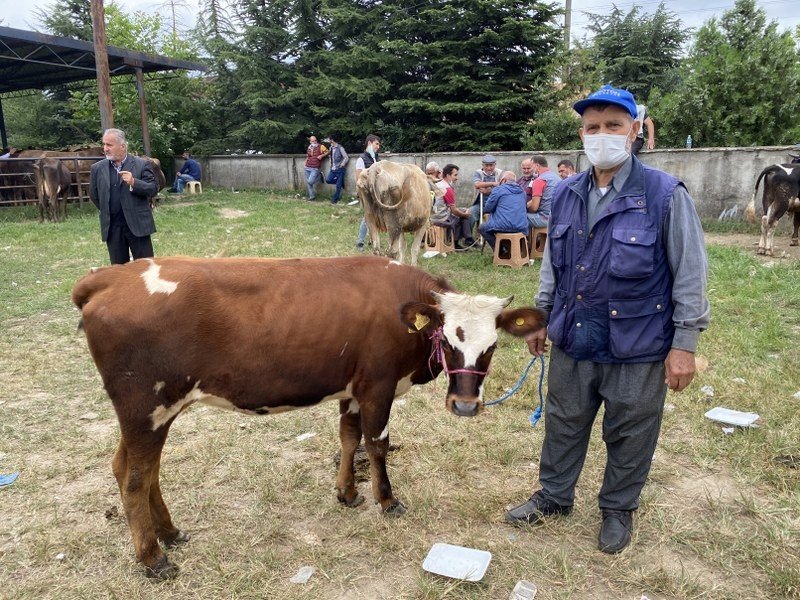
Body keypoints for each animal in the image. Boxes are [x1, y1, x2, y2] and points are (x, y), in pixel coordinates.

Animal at [72, 255, 544, 580]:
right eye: (447, 341)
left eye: (492, 346)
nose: (465, 405)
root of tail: (111, 276)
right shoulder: (378, 386)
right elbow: (377, 444)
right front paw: (386, 500)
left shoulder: (351, 390)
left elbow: (348, 438)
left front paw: (347, 492)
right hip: (145, 407)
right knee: (135, 478)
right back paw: (153, 558)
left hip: (152, 412)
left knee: (134, 468)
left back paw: (168, 532)